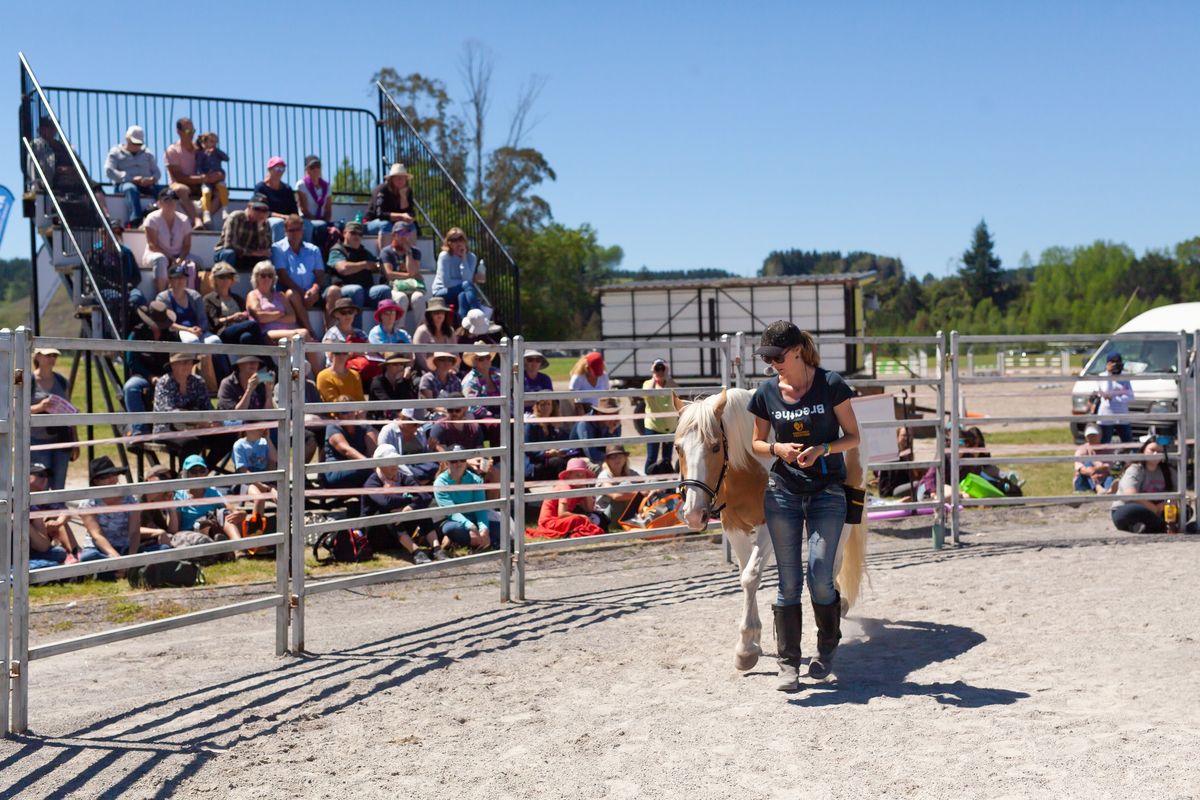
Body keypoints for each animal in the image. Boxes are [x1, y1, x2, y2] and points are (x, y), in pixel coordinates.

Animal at [676, 388, 864, 671]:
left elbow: (751, 576)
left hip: (843, 522)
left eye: (715, 446)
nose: (694, 515)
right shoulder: (733, 527)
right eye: (678, 448)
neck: (747, 469)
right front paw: (752, 642)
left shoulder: (768, 526)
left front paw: (746, 647)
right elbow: (745, 575)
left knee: (832, 564)